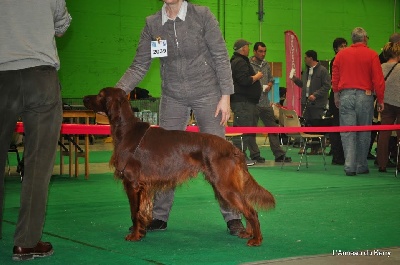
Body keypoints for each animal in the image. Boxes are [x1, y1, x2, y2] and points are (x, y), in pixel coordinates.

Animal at [81, 86, 276, 245]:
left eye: (100, 94)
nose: (84, 98)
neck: (126, 130)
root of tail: (233, 148)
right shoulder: (143, 186)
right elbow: (142, 212)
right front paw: (142, 232)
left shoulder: (132, 183)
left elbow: (134, 213)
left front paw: (135, 236)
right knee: (247, 208)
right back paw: (249, 234)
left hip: (224, 185)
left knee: (251, 211)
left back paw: (256, 239)